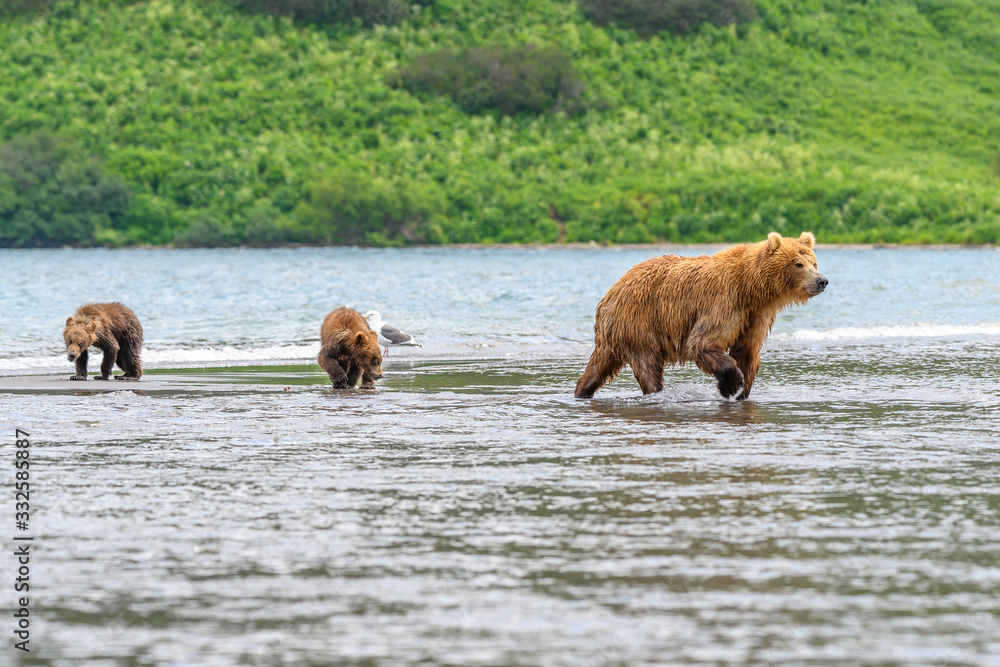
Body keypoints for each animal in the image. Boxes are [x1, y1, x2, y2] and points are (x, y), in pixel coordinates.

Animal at [575, 231, 828, 401]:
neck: (752, 289)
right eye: (798, 263)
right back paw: (654, 391)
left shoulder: (756, 316)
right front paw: (731, 385)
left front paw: (741, 392)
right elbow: (702, 342)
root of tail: (610, 293)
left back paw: (582, 391)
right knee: (647, 365)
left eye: (814, 263)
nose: (822, 280)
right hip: (639, 322)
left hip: (619, 332)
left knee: (598, 367)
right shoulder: (724, 301)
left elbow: (747, 352)